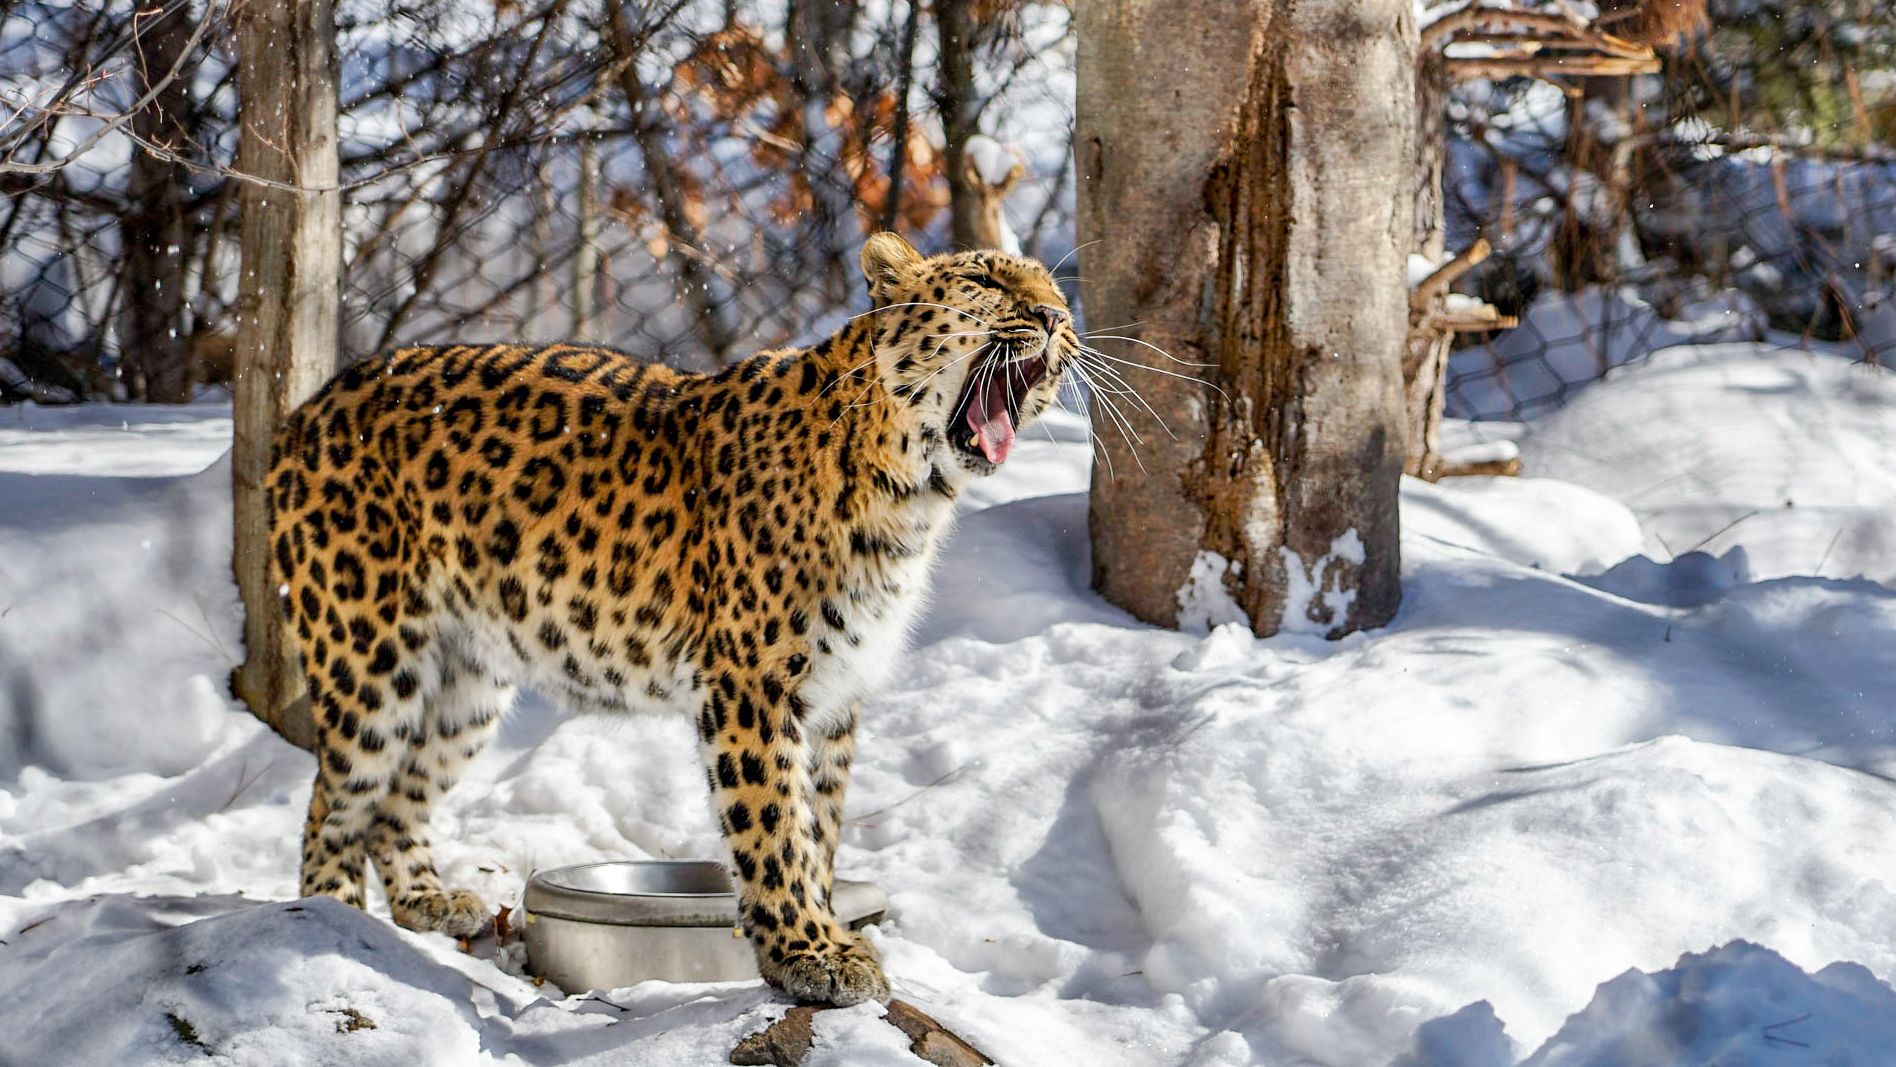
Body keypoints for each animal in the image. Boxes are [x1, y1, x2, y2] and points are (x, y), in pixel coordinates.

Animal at [264, 232, 1076, 1006]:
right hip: (370, 657)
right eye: (985, 281)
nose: (1053, 319)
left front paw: (824, 936)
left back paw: (427, 901)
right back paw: (331, 920)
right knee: (334, 800)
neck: (908, 492)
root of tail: (307, 408)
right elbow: (775, 825)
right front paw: (808, 954)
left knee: (396, 803)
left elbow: (818, 831)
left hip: (467, 686)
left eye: (1058, 294)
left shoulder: (837, 696)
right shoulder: (755, 683)